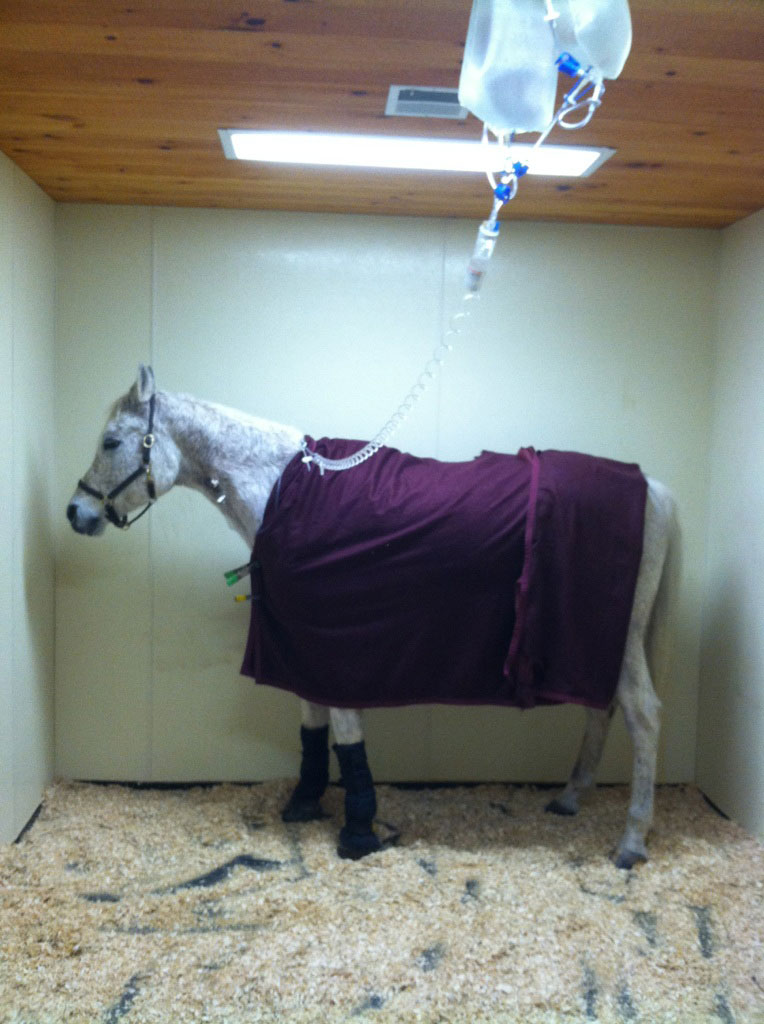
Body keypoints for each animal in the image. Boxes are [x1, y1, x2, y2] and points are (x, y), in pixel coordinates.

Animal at [67, 365, 677, 870]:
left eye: (111, 441)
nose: (77, 512)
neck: (284, 493)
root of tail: (652, 488)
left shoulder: (337, 645)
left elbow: (344, 732)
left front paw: (357, 832)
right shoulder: (299, 640)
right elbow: (312, 722)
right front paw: (305, 802)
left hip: (615, 638)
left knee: (643, 714)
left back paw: (630, 842)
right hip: (592, 638)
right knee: (601, 707)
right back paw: (570, 798)